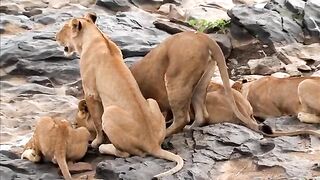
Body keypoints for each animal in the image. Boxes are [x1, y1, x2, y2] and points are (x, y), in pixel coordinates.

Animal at [55, 13, 182, 178]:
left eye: (64, 28)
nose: (55, 37)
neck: (96, 36)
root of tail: (153, 144)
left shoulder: (90, 93)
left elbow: (96, 122)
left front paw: (96, 141)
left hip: (109, 114)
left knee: (125, 153)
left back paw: (105, 147)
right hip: (151, 101)